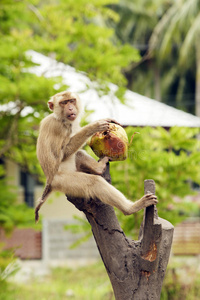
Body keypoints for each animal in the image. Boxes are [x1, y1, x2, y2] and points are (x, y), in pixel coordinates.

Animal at [35, 91, 158, 223]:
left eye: (71, 101)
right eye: (63, 102)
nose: (70, 108)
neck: (61, 119)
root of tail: (49, 181)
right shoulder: (56, 127)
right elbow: (61, 154)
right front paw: (94, 126)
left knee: (78, 153)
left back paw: (98, 168)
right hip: (64, 181)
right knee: (94, 182)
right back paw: (130, 208)